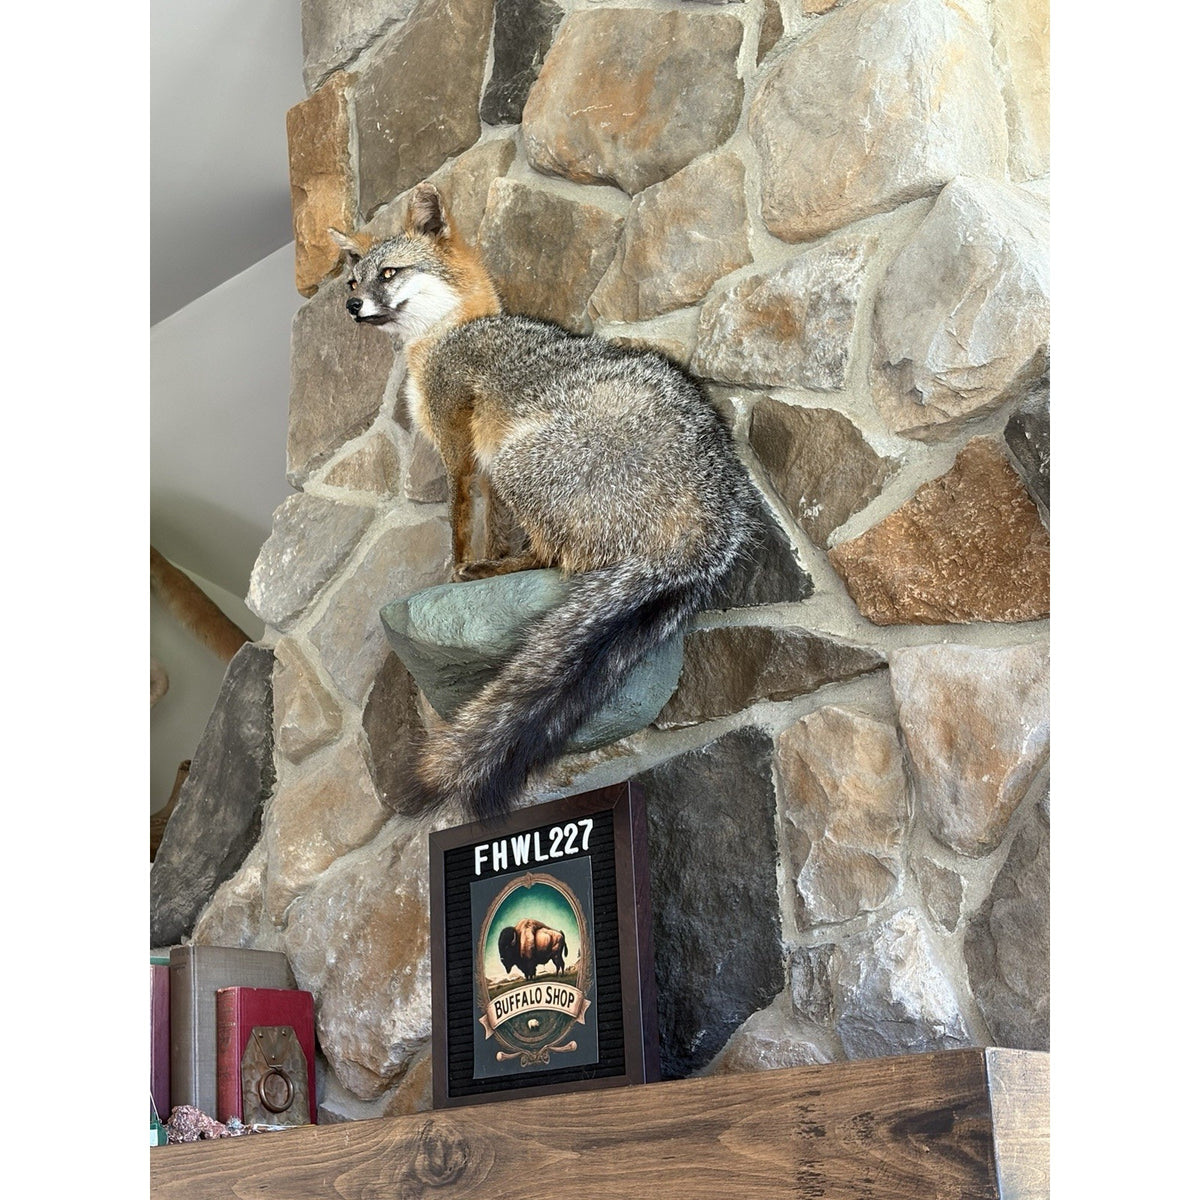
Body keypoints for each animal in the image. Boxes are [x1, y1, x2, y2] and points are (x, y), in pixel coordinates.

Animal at [331, 182, 758, 823]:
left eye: (389, 273)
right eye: (355, 280)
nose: (351, 307)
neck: (451, 331)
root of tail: (711, 511)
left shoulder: (462, 455)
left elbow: (460, 524)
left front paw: (460, 565)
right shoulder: (482, 466)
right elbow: (492, 524)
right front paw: (481, 555)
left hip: (518, 460)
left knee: (556, 558)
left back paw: (489, 571)